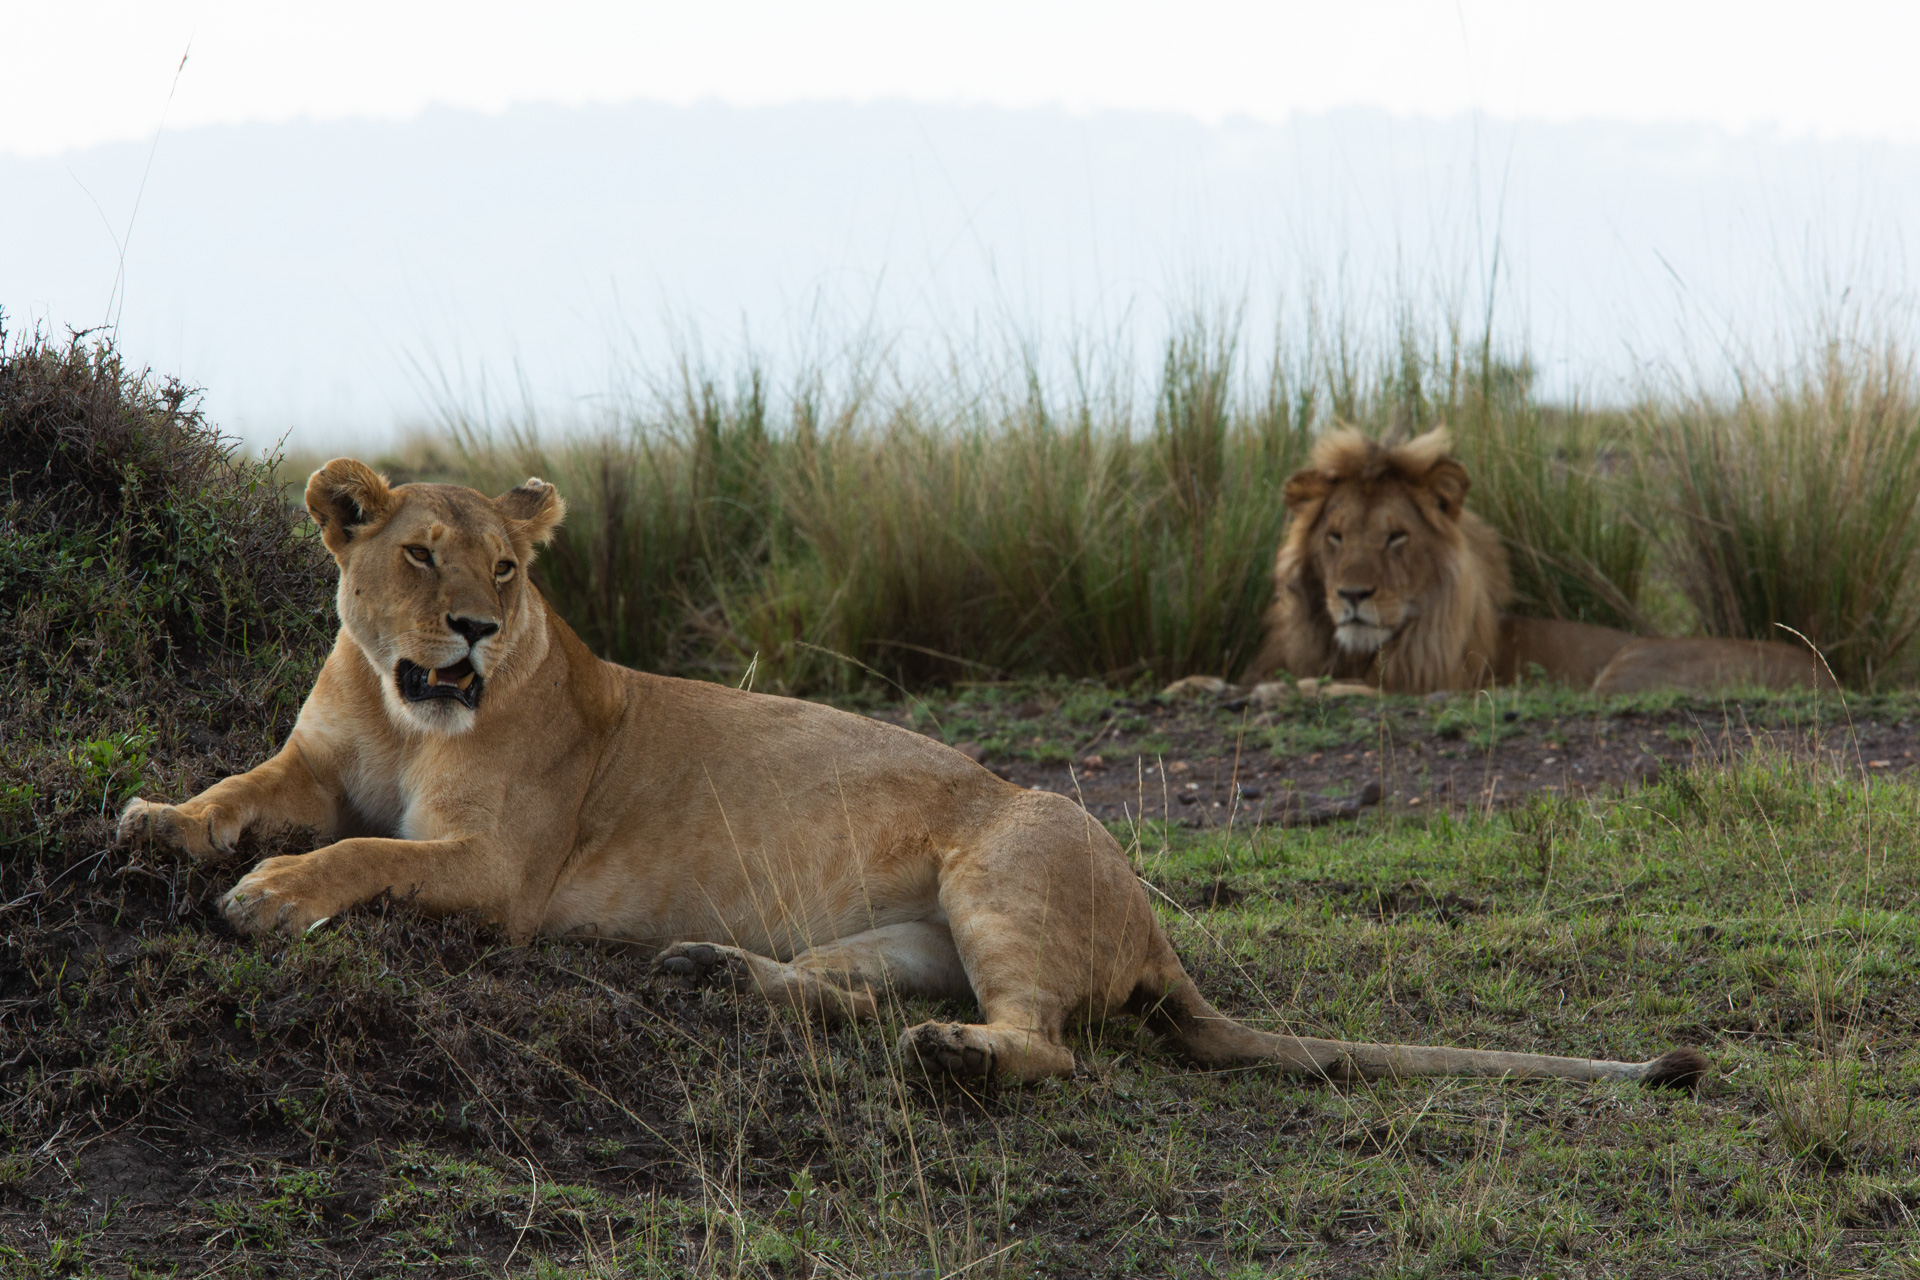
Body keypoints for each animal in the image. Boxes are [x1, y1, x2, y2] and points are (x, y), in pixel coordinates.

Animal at [123, 460, 1712, 1090]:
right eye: (415, 555)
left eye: (508, 569)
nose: (472, 628)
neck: (408, 717)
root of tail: (1156, 927)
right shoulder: (318, 756)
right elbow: (245, 789)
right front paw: (159, 821)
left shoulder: (503, 870)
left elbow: (364, 854)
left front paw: (268, 896)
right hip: (899, 935)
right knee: (843, 990)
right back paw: (715, 973)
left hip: (1004, 865)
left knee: (1051, 1045)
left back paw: (954, 1058)